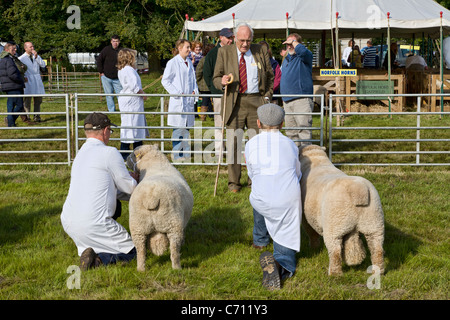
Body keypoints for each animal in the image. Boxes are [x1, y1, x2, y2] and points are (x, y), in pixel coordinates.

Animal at [126, 144, 193, 272]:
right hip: (174, 225)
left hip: (138, 228)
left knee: (140, 251)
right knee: (174, 251)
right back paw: (177, 268)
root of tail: (151, 197)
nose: (126, 160)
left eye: (133, 153)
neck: (155, 164)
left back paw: (141, 269)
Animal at [298, 145, 384, 276]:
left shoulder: (306, 218)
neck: (317, 159)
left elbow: (312, 233)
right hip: (373, 222)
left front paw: (313, 247)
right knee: (377, 248)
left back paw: (334, 274)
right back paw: (378, 270)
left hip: (334, 226)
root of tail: (358, 191)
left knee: (335, 251)